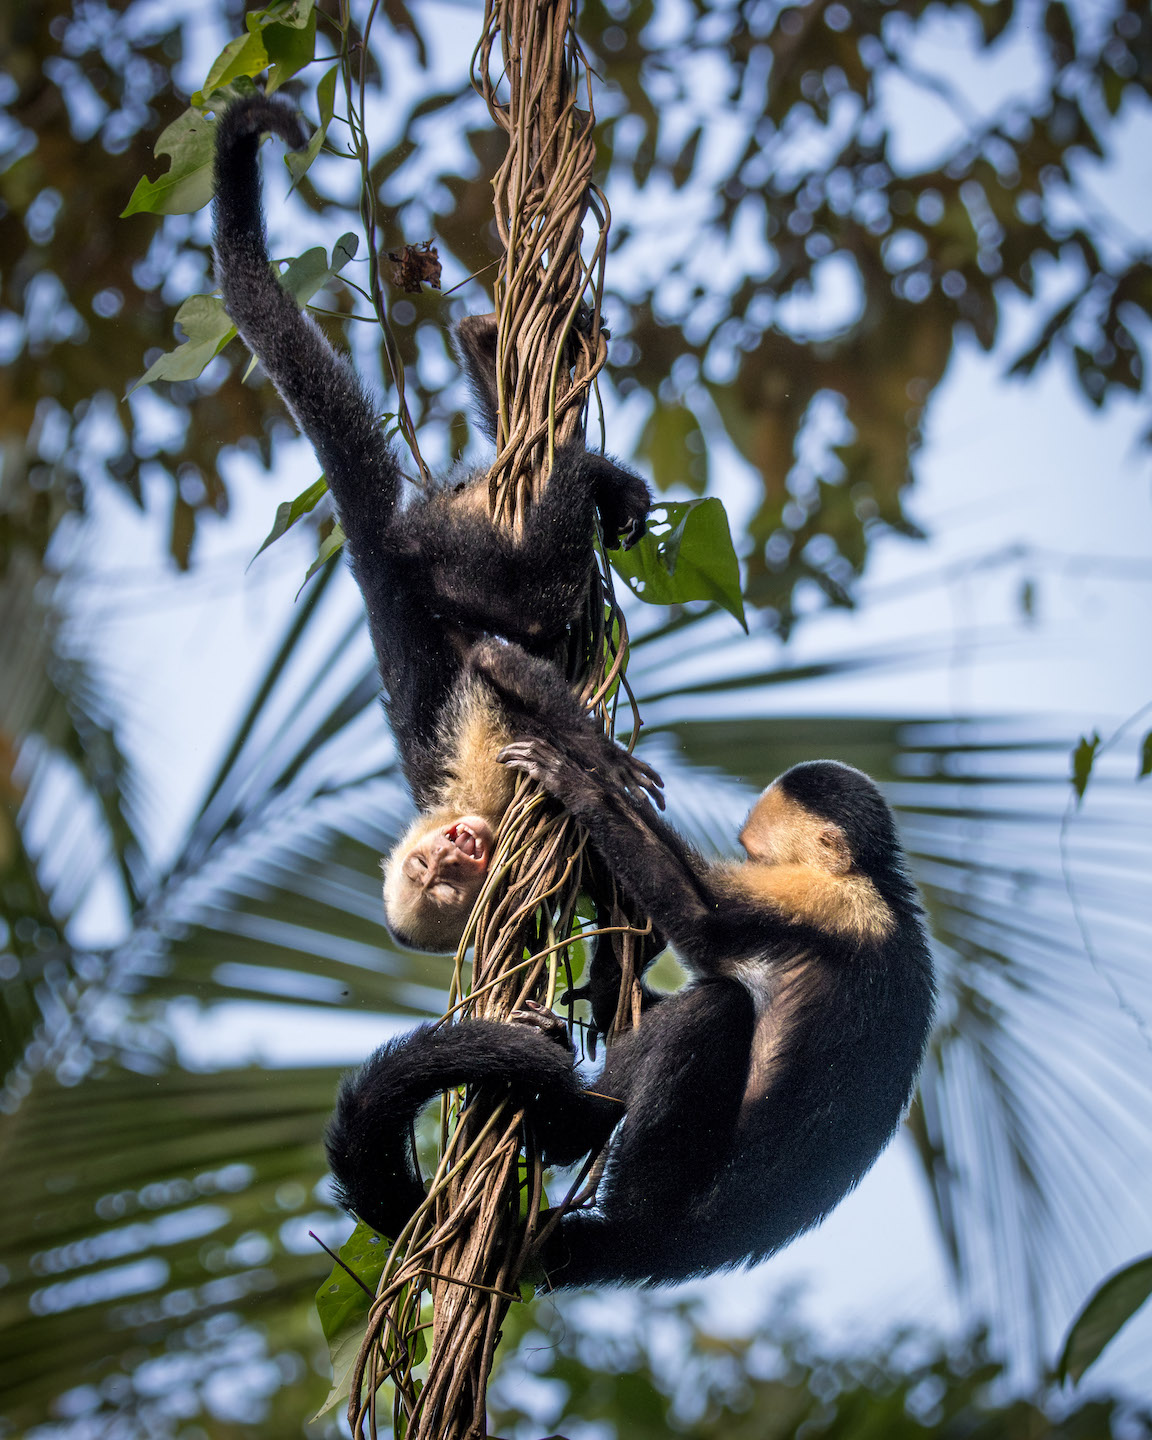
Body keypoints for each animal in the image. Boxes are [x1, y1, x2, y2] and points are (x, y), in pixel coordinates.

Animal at [211, 95, 653, 950]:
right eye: (439, 882)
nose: (457, 851)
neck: (461, 809)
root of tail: (377, 550)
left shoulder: (477, 766)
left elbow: (495, 665)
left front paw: (599, 756)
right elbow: (626, 914)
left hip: (439, 545)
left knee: (530, 602)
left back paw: (578, 459)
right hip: (461, 510)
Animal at [324, 642, 933, 1284]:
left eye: (751, 854)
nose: (452, 850)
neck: (876, 883)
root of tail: (670, 1241)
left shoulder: (823, 898)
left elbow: (700, 923)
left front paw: (586, 784)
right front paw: (607, 980)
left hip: (666, 1184)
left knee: (712, 1010)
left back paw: (565, 1125)